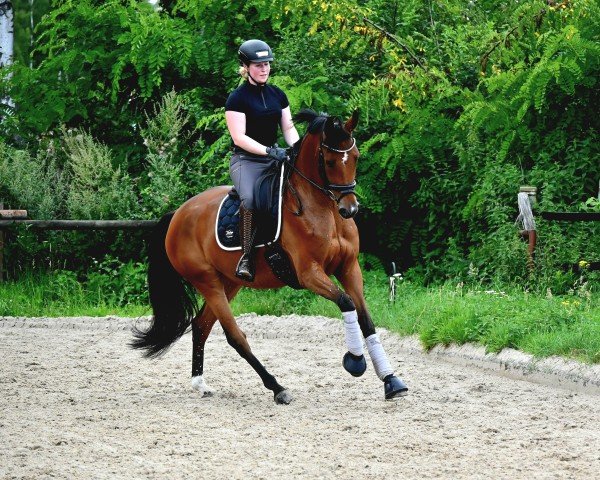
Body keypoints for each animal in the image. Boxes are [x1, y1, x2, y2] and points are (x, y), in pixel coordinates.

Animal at [131, 108, 408, 402]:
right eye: (330, 161)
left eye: (355, 157)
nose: (349, 209)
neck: (325, 212)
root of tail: (178, 214)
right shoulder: (309, 273)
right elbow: (346, 302)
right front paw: (355, 361)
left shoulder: (348, 267)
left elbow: (366, 319)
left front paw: (391, 381)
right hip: (207, 281)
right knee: (234, 336)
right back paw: (277, 388)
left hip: (229, 282)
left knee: (201, 325)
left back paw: (200, 383)